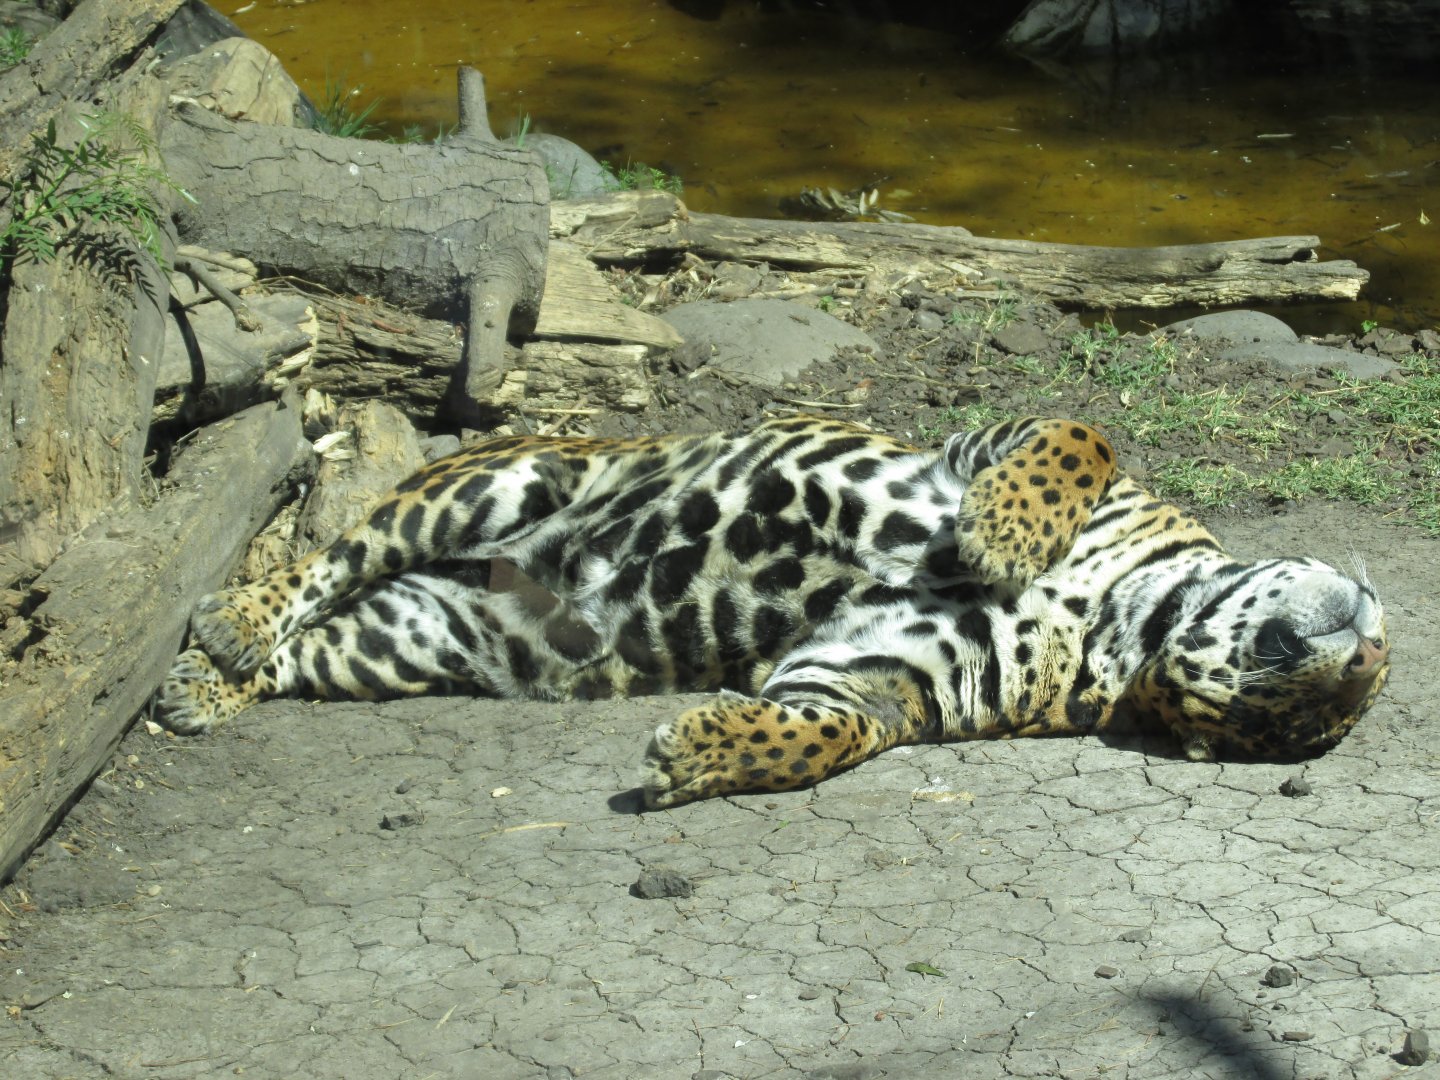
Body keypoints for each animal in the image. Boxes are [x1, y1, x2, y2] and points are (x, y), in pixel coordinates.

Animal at [158, 415, 1391, 808]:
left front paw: (703, 753)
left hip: (415, 638)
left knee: (319, 640)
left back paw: (203, 686)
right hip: (497, 478)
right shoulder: (974, 446)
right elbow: (1079, 439)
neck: (1119, 615)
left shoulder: (885, 676)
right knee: (328, 558)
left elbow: (821, 730)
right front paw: (1004, 534)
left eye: (1299, 726)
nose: (1358, 651)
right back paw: (229, 624)